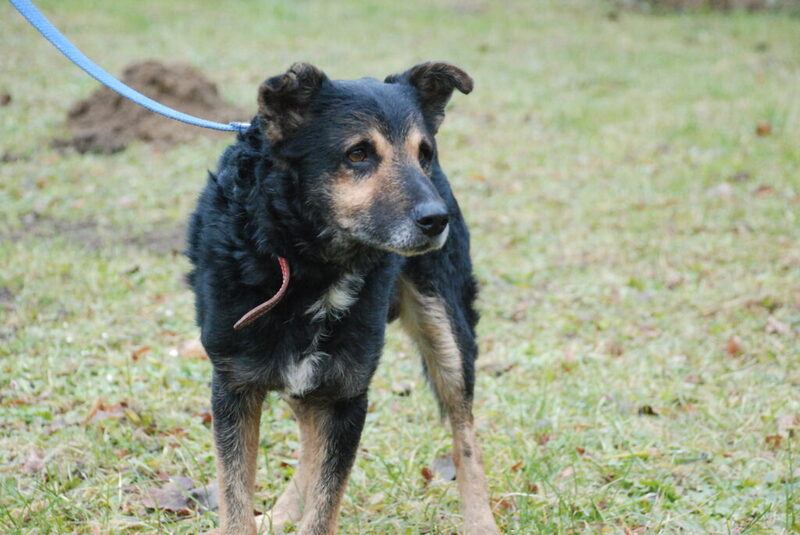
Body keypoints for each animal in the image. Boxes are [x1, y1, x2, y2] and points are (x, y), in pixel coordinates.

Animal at [188, 61, 500, 535]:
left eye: (423, 154)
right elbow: (236, 499)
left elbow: (324, 504)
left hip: (446, 331)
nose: (436, 219)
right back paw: (282, 512)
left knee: (464, 434)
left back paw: (481, 521)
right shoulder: (234, 387)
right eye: (358, 154)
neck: (305, 261)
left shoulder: (347, 393)